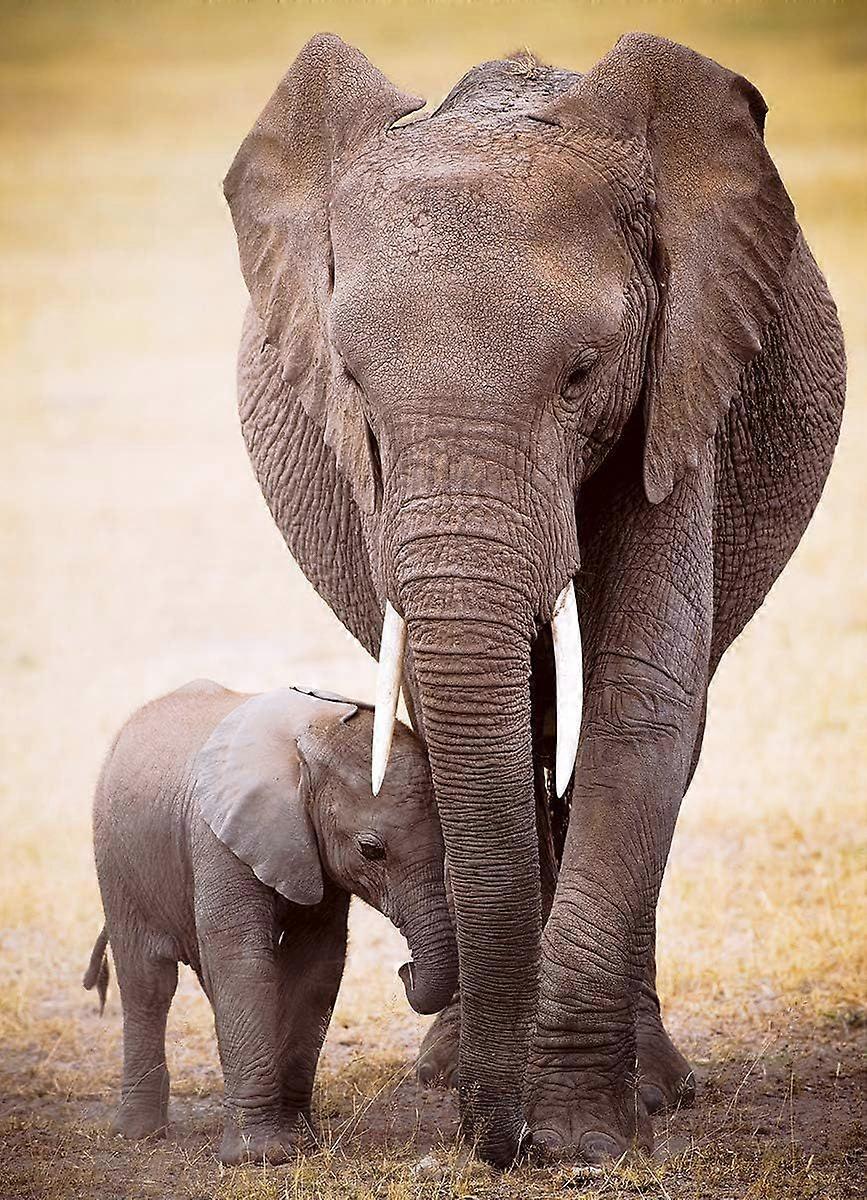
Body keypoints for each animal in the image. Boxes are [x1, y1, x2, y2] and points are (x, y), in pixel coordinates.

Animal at [84, 680, 456, 1165]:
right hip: (116, 860)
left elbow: (317, 964)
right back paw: (139, 1134)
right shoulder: (217, 837)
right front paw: (261, 1157)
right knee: (148, 981)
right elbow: (243, 960)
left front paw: (301, 1142)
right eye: (371, 850)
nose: (405, 970)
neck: (308, 739)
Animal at [222, 33, 846, 1166]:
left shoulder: (684, 377)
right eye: (352, 383)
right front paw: (517, 1109)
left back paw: (654, 1087)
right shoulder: (368, 471)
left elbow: (642, 695)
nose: (495, 1142)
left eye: (582, 375)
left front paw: (583, 1140)